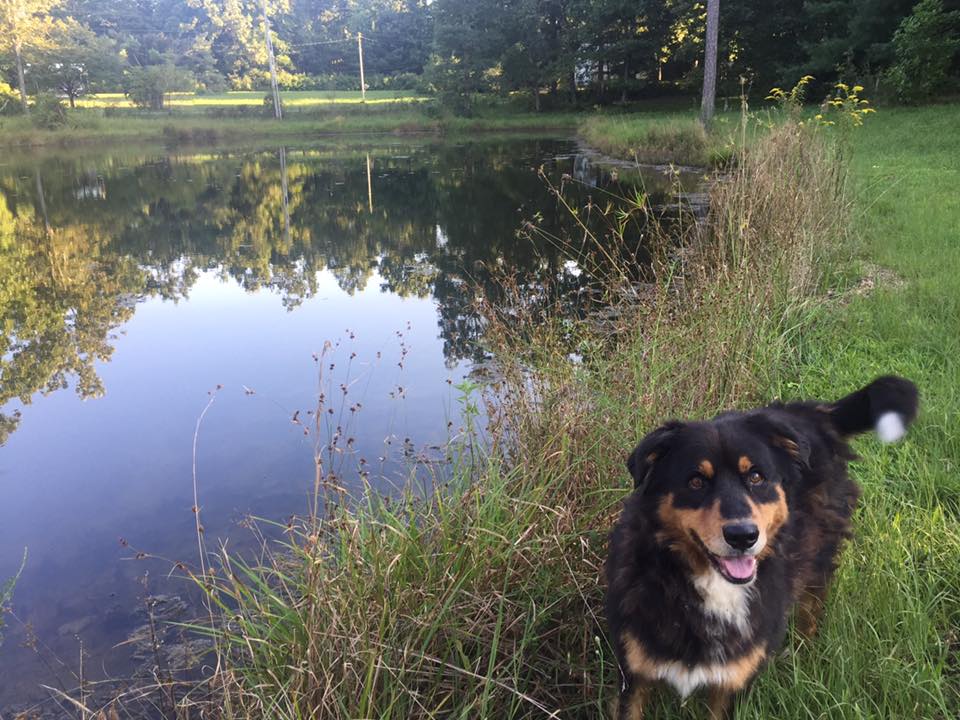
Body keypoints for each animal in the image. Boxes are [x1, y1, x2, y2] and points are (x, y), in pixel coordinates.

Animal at [608, 374, 916, 716]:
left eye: (756, 477)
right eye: (696, 481)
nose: (743, 536)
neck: (710, 587)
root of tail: (811, 412)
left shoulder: (733, 683)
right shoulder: (633, 672)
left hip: (818, 561)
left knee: (811, 612)